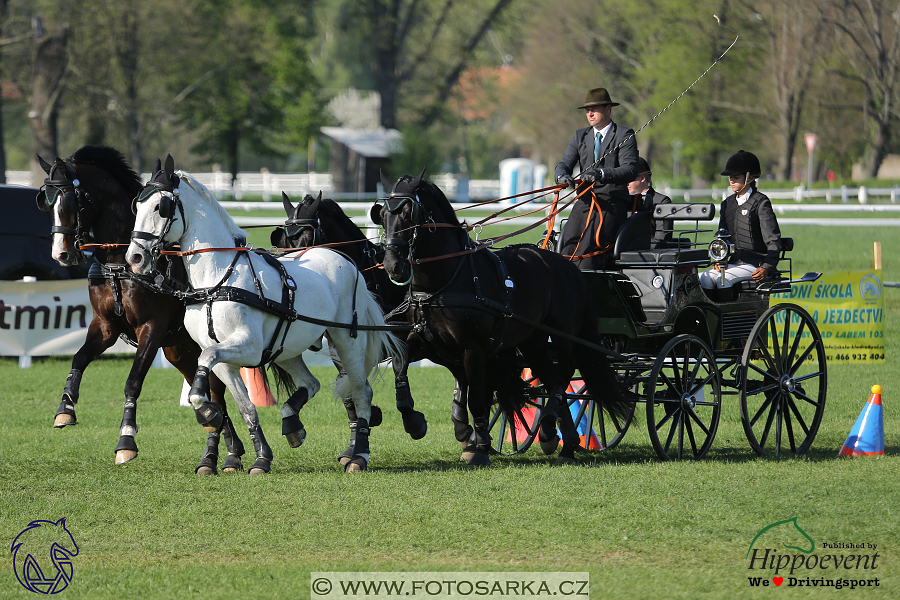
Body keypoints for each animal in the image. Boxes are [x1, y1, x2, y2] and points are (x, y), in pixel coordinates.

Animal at [37, 144, 243, 474]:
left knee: (215, 392)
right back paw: (226, 451)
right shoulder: (105, 326)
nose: (61, 254)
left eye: (70, 199)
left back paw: (226, 454)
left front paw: (126, 440)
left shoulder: (152, 329)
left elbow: (133, 382)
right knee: (213, 396)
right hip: (180, 352)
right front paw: (65, 407)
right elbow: (79, 358)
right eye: (46, 199)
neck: (119, 264)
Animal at [125, 156, 404, 474]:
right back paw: (293, 425)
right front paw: (260, 456)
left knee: (361, 392)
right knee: (312, 383)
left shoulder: (249, 347)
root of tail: (346, 260)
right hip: (287, 348)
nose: (135, 257)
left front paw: (207, 411)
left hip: (346, 340)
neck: (218, 281)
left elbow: (206, 362)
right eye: (137, 206)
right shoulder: (224, 359)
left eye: (160, 207)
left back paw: (359, 455)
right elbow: (245, 406)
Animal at [268, 192, 428, 440]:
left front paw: (411, 419)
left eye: (308, 239)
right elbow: (346, 381)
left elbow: (399, 366)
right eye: (284, 241)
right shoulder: (340, 343)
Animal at [370, 169, 628, 464]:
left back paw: (551, 425)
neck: (445, 282)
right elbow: (400, 366)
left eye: (408, 213)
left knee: (563, 375)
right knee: (552, 378)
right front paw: (414, 421)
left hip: (563, 335)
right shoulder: (423, 339)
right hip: (533, 342)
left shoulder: (473, 348)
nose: (392, 265)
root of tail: (569, 266)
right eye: (382, 215)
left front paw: (480, 447)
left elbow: (477, 397)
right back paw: (564, 442)